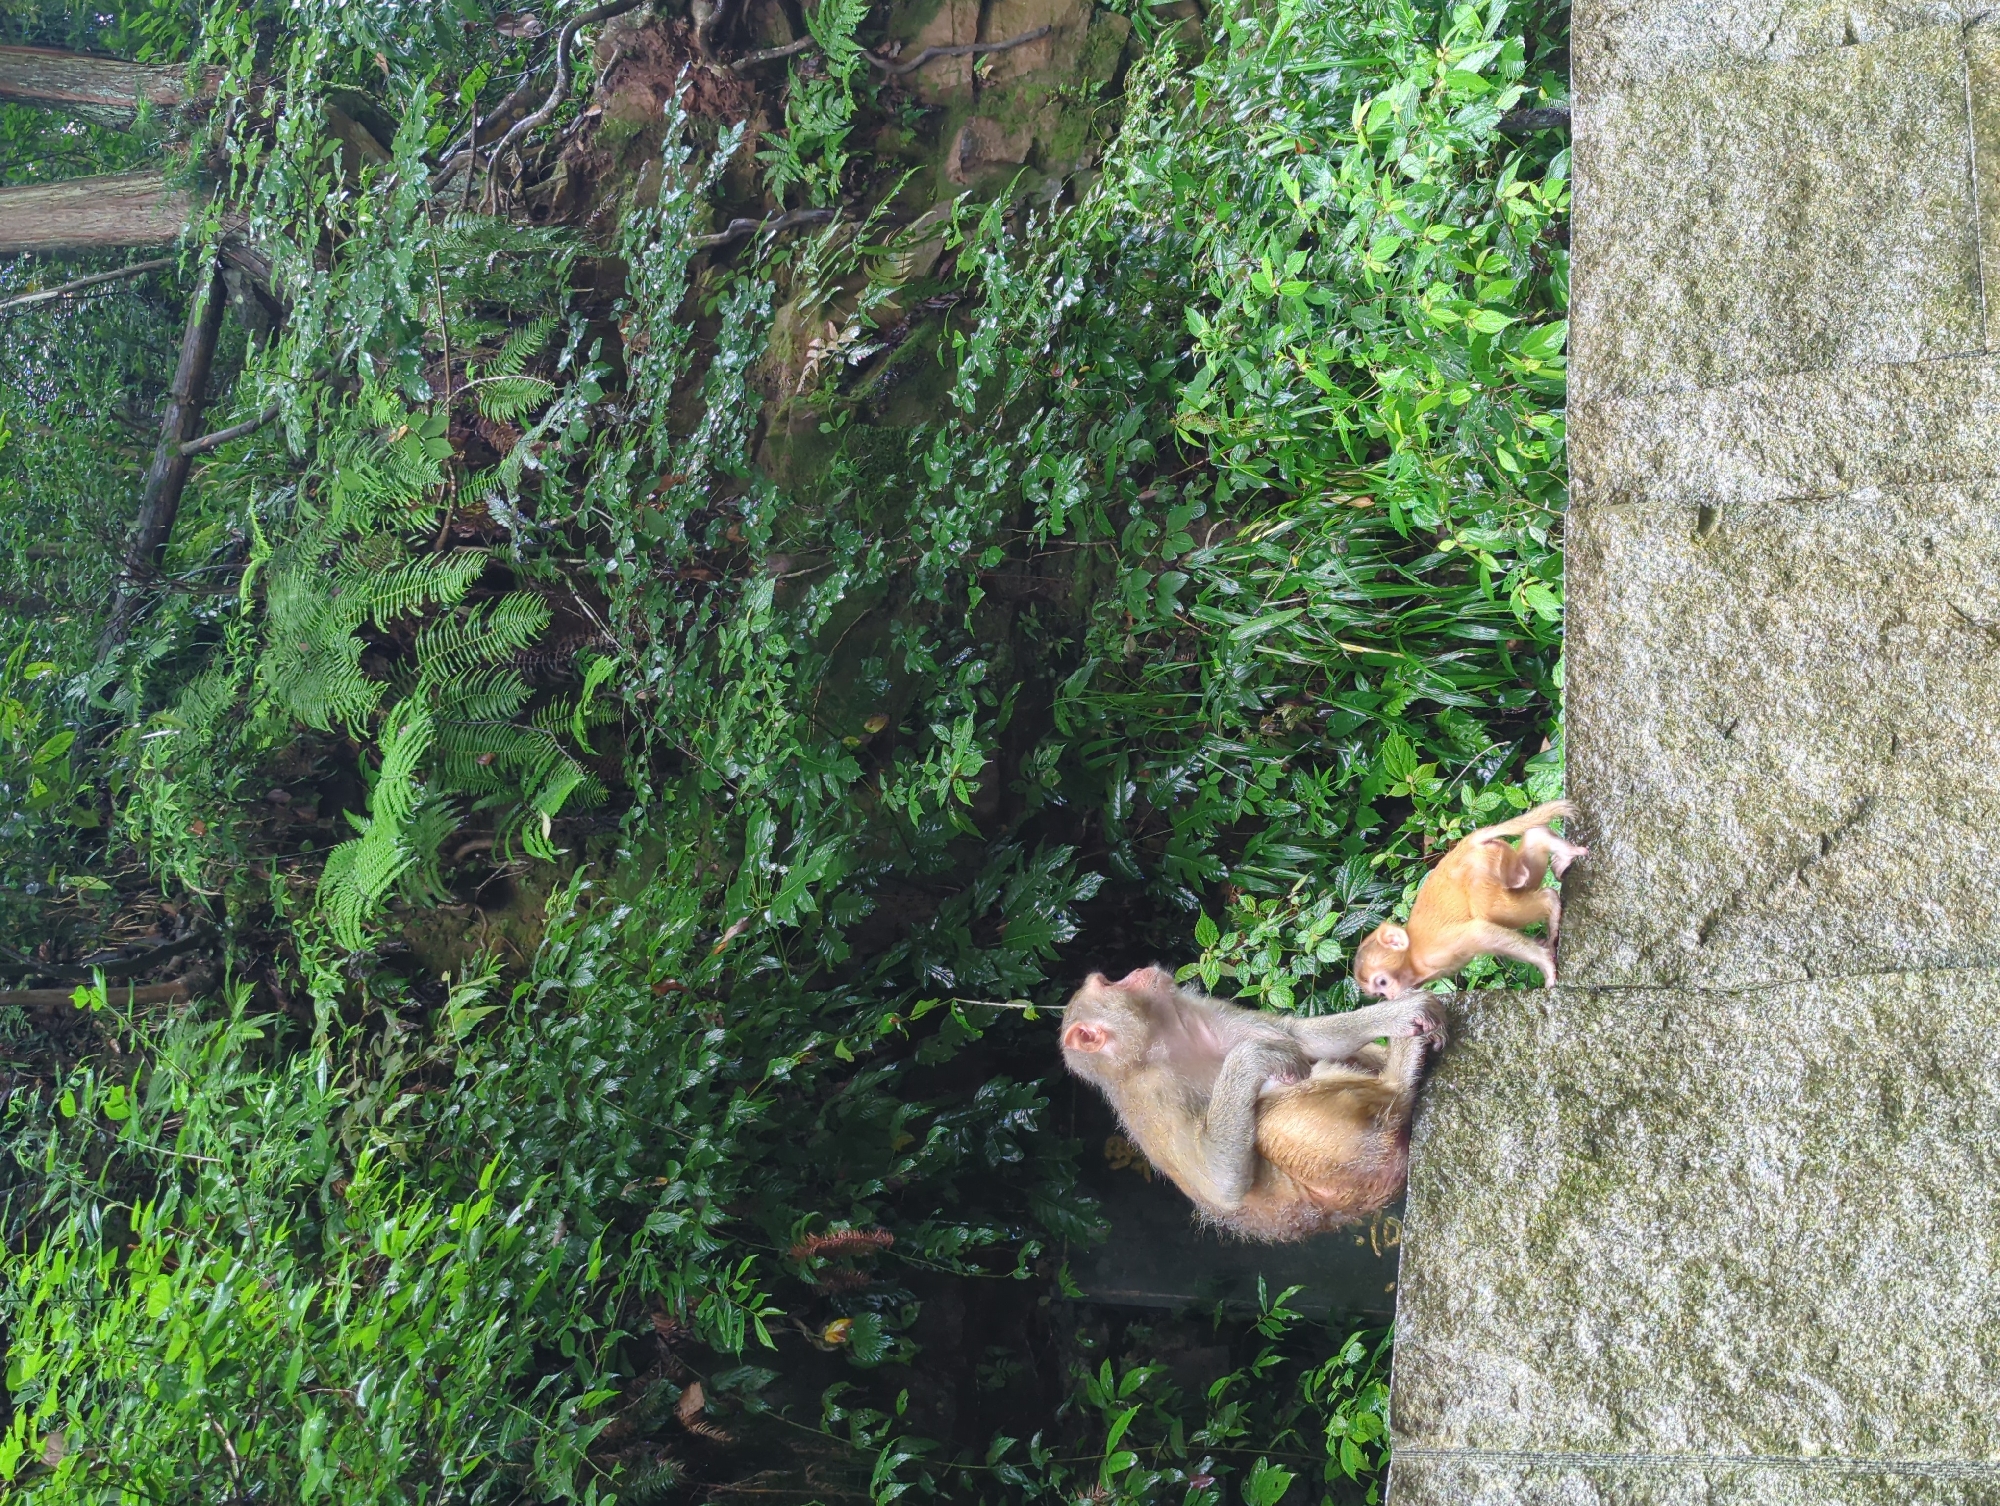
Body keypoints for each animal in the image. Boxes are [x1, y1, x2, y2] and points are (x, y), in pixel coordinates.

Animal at [1060, 967, 1443, 1242]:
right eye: (1110, 983)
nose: (1137, 970)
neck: (1160, 1043)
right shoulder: (1151, 1096)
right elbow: (1219, 1185)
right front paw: (1252, 1057)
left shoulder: (1198, 1010)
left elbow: (1297, 1037)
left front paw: (1396, 1014)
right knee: (1272, 1107)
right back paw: (1399, 1079)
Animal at [1352, 800, 1586, 997]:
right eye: (1379, 993)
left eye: (1382, 982)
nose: (1390, 996)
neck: (1411, 957)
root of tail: (1469, 842)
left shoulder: (1436, 950)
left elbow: (1480, 933)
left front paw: (1544, 962)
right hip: (1503, 861)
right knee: (1525, 870)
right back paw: (1559, 851)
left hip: (1479, 869)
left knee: (1497, 911)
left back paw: (1550, 901)